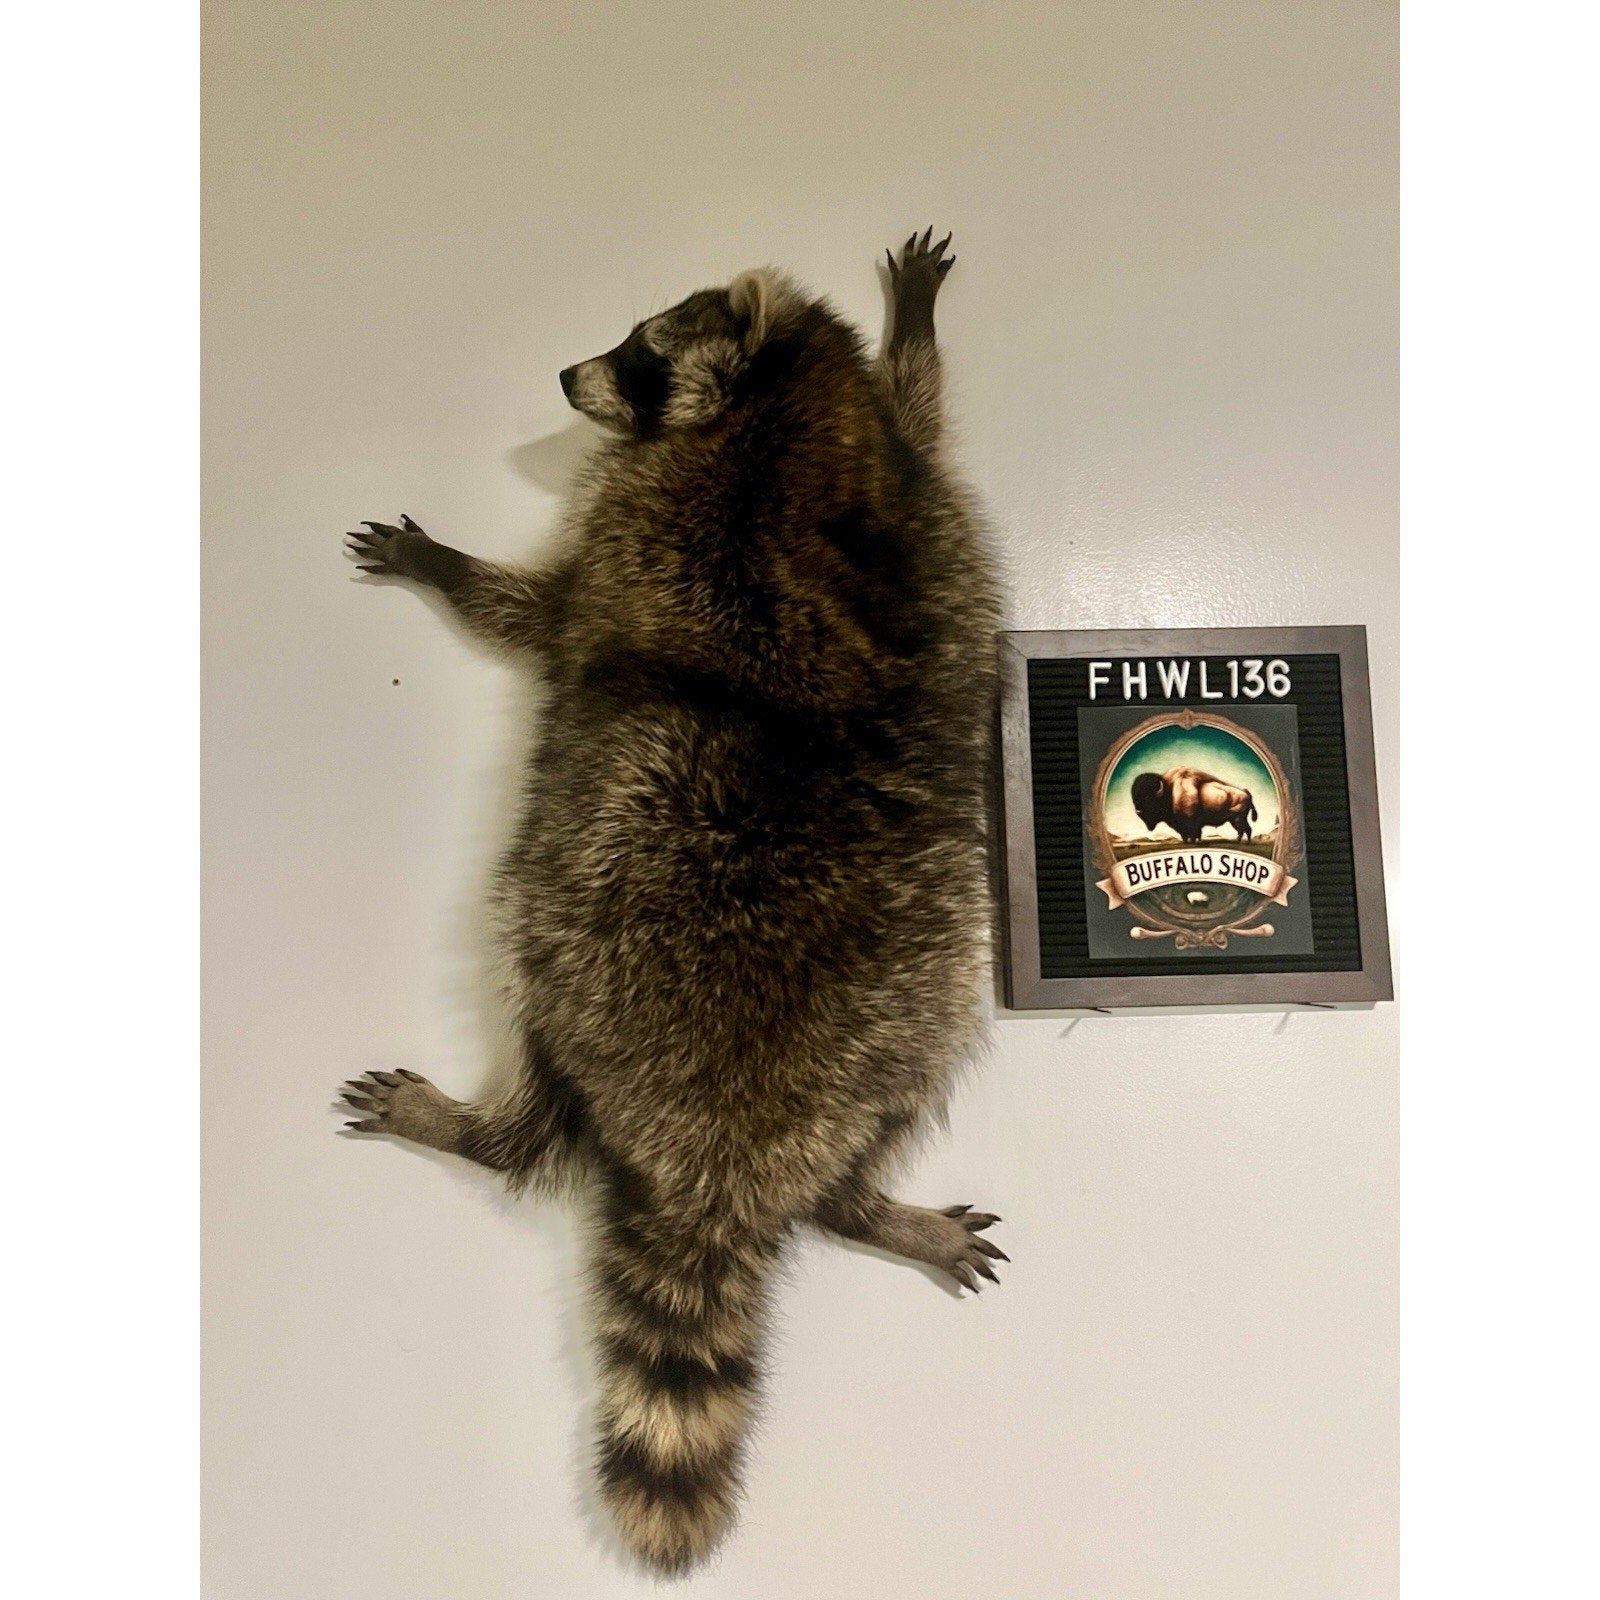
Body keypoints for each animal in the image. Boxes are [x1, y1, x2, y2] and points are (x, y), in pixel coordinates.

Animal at [341, 230, 1003, 1574]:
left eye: (642, 352)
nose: (563, 376)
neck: (788, 396)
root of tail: (717, 1166)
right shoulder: (908, 477)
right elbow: (926, 417)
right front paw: (912, 328)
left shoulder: (643, 522)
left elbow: (542, 610)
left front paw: (453, 567)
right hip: (919, 988)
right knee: (913, 1056)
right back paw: (864, 1203)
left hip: (580, 908)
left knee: (533, 986)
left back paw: (485, 1124)